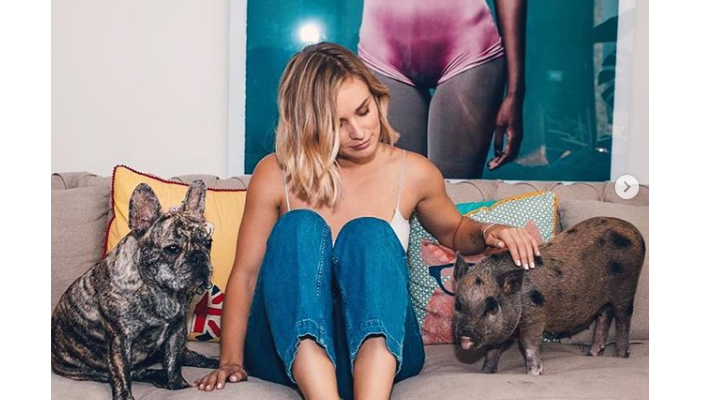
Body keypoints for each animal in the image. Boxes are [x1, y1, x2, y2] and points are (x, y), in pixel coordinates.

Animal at [51, 180, 219, 400]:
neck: (159, 290)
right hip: (87, 370)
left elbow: (174, 362)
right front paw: (125, 396)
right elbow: (122, 374)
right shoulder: (120, 339)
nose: (198, 257)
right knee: (134, 372)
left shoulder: (177, 331)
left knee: (184, 356)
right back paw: (157, 376)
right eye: (172, 249)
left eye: (208, 243)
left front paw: (178, 385)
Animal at [453, 216, 645, 375]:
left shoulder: (535, 314)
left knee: (623, 318)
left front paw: (535, 373)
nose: (466, 332)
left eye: (491, 308)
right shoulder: (502, 328)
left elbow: (528, 343)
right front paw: (485, 372)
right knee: (604, 316)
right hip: (604, 299)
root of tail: (636, 233)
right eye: (458, 305)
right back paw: (592, 355)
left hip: (627, 288)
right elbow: (493, 349)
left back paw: (620, 356)